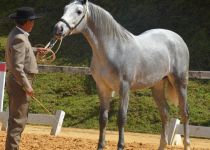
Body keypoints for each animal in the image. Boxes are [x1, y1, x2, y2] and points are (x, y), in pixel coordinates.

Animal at [53, 0, 190, 149]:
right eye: (65, 8)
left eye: (78, 11)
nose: (58, 28)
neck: (112, 49)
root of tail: (177, 38)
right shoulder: (102, 88)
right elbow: (103, 118)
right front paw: (100, 145)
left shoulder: (124, 88)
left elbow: (121, 118)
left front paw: (120, 145)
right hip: (157, 86)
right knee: (165, 113)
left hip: (180, 82)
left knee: (184, 113)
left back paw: (187, 145)